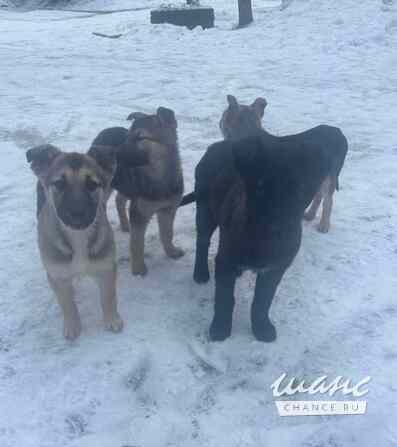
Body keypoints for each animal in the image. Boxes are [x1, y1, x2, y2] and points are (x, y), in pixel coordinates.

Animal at [26, 144, 122, 340]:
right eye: (59, 183)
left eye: (92, 184)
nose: (77, 213)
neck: (78, 237)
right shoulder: (57, 274)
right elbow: (66, 302)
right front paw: (72, 326)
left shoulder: (106, 268)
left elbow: (108, 297)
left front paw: (111, 319)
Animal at [180, 135, 344, 342]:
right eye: (260, 187)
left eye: (300, 191)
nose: (276, 224)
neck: (263, 239)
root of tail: (215, 146)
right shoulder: (225, 260)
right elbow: (224, 297)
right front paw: (220, 328)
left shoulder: (275, 268)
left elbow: (262, 300)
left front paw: (261, 327)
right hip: (205, 208)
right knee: (202, 241)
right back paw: (200, 273)